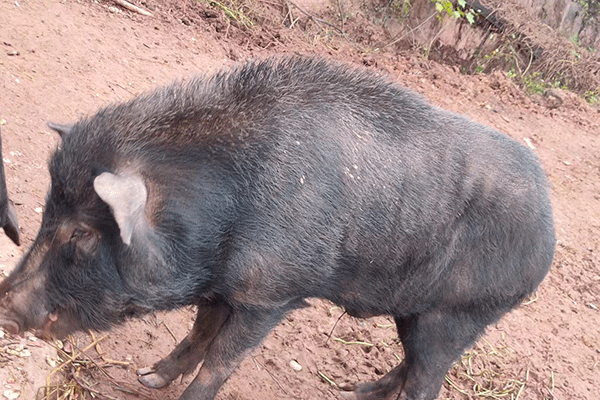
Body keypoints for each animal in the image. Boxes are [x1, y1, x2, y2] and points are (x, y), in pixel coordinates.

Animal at [0, 56, 555, 400]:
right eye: (47, 214)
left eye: (82, 233)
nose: (4, 305)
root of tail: (550, 229)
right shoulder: (221, 286)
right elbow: (198, 335)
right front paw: (150, 377)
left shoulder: (271, 295)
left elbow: (222, 360)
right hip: (418, 311)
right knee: (412, 363)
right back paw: (355, 392)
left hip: (461, 313)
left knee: (428, 380)